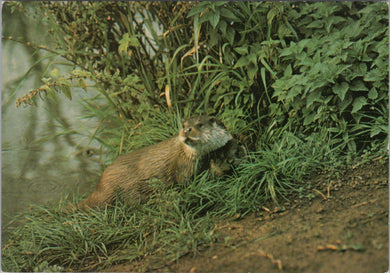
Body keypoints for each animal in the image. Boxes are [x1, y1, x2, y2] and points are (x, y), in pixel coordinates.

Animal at [77, 115, 233, 208]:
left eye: (200, 124)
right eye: (183, 126)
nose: (187, 130)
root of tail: (99, 185)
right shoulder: (183, 165)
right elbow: (184, 181)